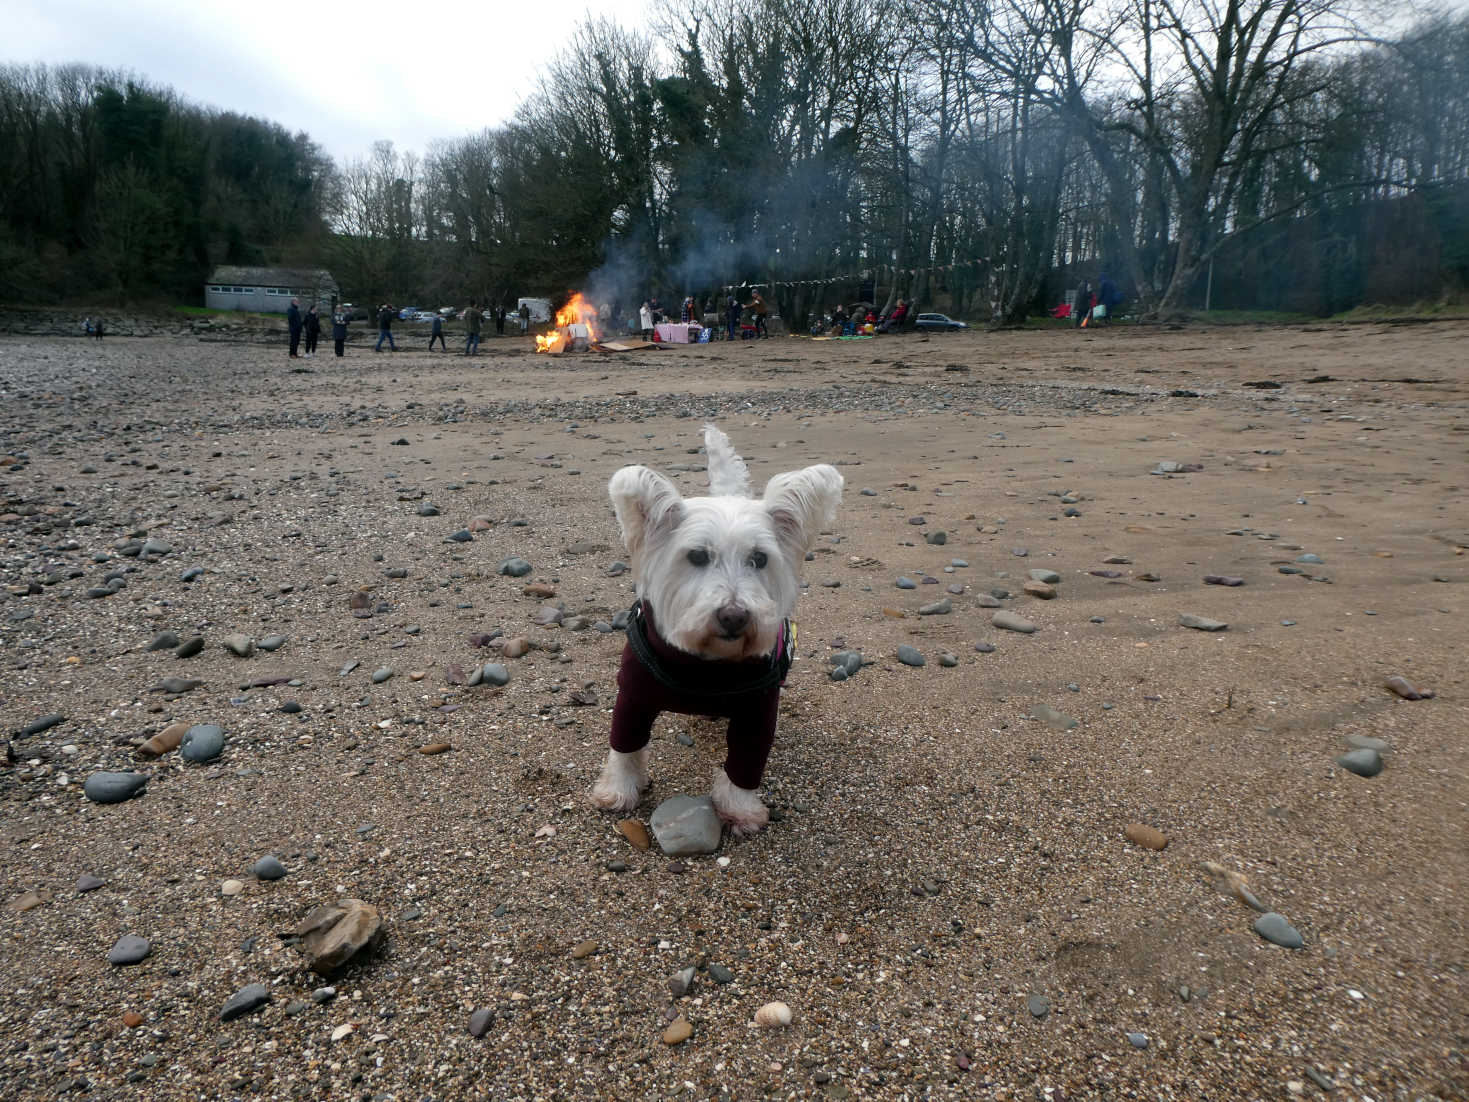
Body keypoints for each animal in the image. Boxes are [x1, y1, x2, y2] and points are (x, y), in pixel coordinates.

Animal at [581, 426, 840, 834]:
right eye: (698, 556)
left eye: (760, 558)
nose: (734, 616)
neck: (705, 666)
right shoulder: (633, 697)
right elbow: (625, 745)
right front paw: (619, 790)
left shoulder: (758, 713)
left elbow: (746, 763)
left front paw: (740, 809)